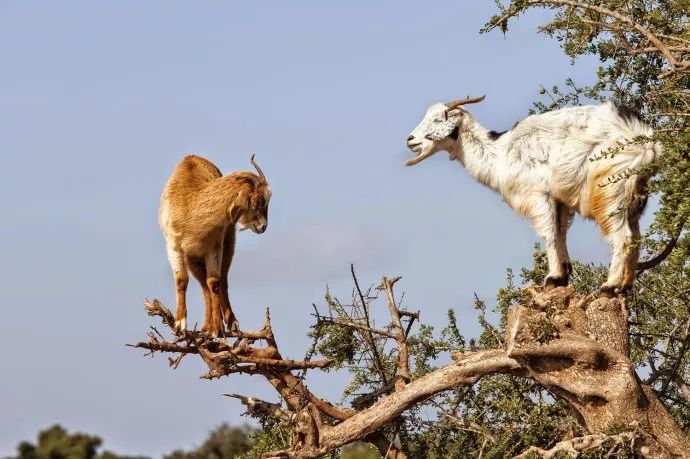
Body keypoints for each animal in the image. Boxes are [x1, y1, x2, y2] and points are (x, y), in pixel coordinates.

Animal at [160, 153, 270, 336]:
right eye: (257, 201)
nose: (263, 227)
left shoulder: (214, 246)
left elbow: (215, 283)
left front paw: (218, 329)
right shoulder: (174, 247)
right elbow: (182, 280)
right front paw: (180, 323)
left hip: (228, 244)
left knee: (222, 279)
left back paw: (230, 322)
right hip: (193, 259)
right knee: (204, 286)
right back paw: (206, 326)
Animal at [406, 98, 660, 298]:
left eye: (438, 120)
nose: (410, 140)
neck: (500, 153)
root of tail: (646, 139)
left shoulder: (538, 194)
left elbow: (548, 233)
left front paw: (552, 277)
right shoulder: (559, 200)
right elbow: (559, 232)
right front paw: (563, 276)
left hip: (609, 189)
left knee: (623, 236)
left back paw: (609, 286)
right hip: (634, 195)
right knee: (635, 235)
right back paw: (625, 286)